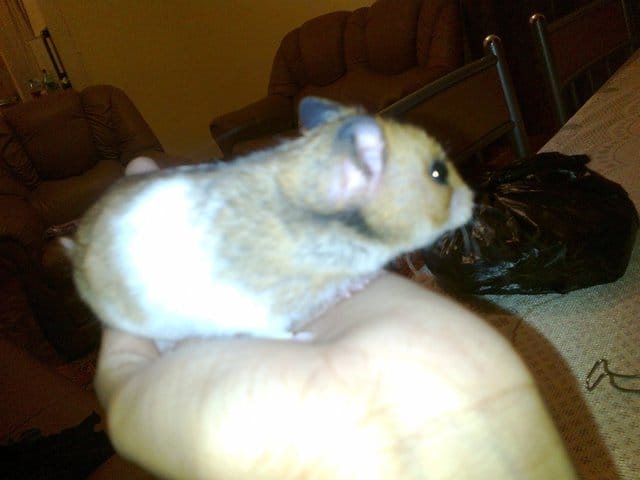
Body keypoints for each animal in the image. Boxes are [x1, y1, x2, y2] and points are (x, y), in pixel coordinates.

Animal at [63, 96, 473, 345]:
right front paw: (306, 339)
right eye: (438, 174)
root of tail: (75, 251)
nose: (474, 201)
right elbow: (278, 332)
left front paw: (355, 286)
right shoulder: (260, 309)